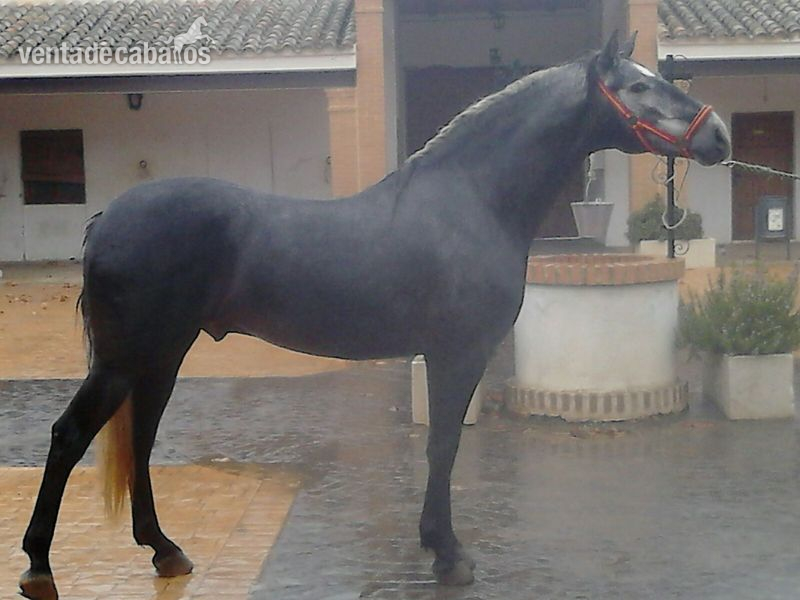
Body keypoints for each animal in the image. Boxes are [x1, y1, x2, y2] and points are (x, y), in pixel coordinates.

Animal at [19, 33, 730, 599]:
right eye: (639, 86)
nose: (719, 135)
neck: (471, 200)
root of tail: (109, 216)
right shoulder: (457, 352)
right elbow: (443, 445)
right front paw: (447, 554)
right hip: (125, 360)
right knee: (68, 436)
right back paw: (38, 566)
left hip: (162, 357)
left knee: (139, 440)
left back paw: (165, 552)